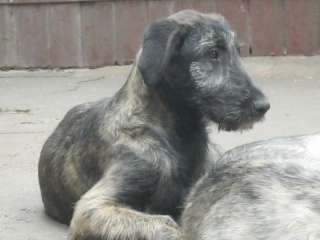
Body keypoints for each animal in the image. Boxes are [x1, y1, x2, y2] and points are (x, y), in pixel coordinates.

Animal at [38, 9, 270, 240]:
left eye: (237, 52)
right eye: (213, 52)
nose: (263, 106)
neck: (178, 134)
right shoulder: (94, 207)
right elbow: (165, 223)